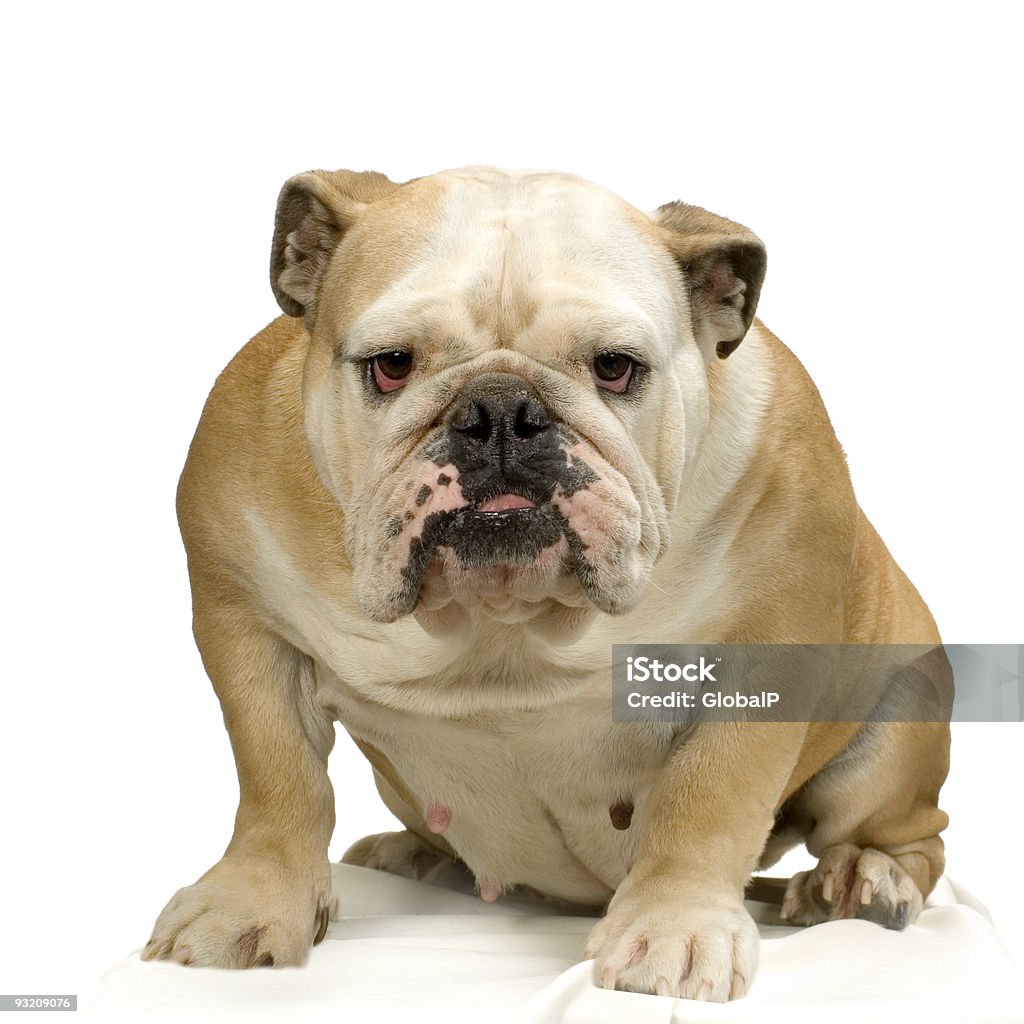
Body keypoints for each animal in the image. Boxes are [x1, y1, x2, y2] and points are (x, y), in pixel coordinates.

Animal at [142, 167, 950, 999]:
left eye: (616, 367)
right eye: (391, 364)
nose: (501, 410)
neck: (507, 618)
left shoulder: (769, 651)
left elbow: (710, 798)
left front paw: (674, 928)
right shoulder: (246, 620)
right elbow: (279, 777)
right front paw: (246, 906)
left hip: (896, 729)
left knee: (913, 839)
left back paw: (862, 881)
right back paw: (412, 854)